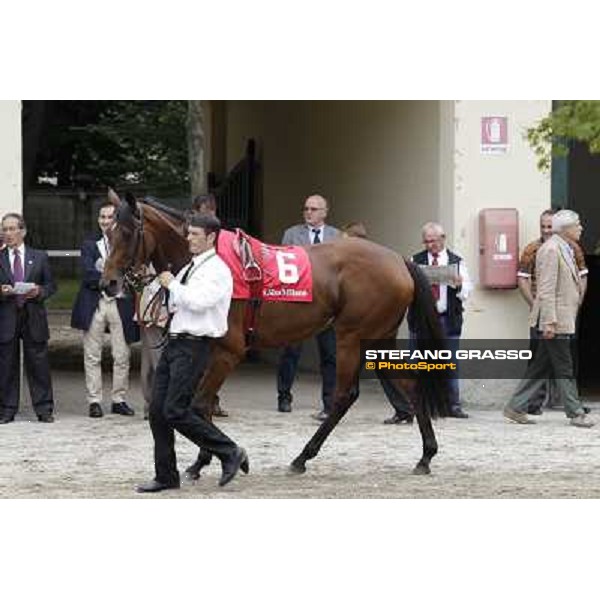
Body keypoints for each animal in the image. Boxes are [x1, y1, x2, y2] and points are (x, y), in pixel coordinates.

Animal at [102, 190, 450, 480]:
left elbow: (200, 405)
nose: (109, 283)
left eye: (128, 233)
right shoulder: (207, 350)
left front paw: (209, 460)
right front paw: (207, 460)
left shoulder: (228, 351)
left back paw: (302, 457)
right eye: (107, 233)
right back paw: (426, 456)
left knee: (344, 395)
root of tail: (398, 260)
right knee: (410, 383)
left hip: (352, 336)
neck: (209, 262)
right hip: (379, 338)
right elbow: (197, 405)